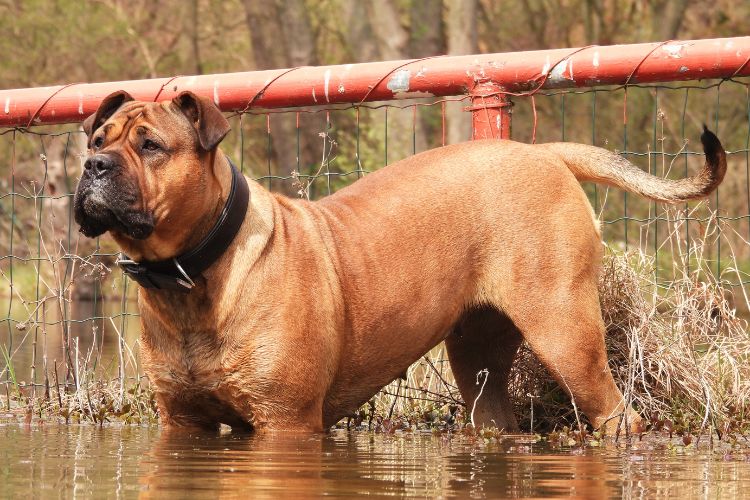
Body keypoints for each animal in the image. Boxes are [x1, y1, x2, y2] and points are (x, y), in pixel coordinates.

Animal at [75, 91, 728, 434]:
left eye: (151, 146)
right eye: (98, 139)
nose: (92, 167)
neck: (189, 276)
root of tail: (542, 152)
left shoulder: (286, 423)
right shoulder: (183, 423)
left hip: (567, 333)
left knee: (617, 415)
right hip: (478, 358)